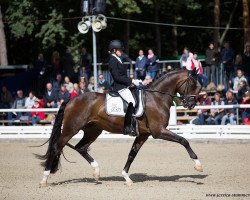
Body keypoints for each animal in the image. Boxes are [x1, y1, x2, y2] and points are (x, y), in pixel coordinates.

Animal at [38, 68, 203, 186]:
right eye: (192, 85)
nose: (191, 105)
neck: (157, 97)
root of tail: (71, 100)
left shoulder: (143, 134)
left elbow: (132, 154)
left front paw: (126, 177)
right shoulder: (158, 131)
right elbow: (183, 140)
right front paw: (198, 164)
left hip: (93, 130)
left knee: (81, 147)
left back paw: (96, 171)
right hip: (71, 128)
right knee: (57, 147)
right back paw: (44, 178)